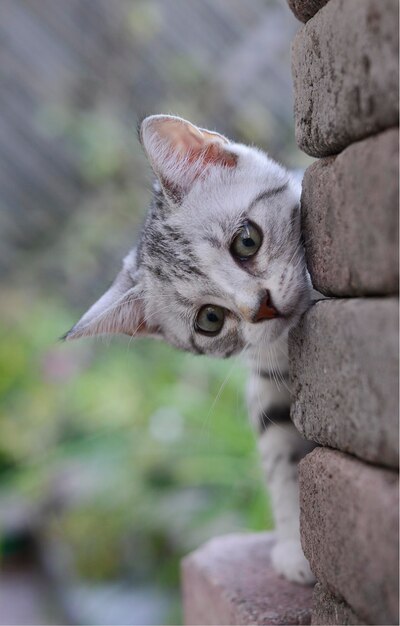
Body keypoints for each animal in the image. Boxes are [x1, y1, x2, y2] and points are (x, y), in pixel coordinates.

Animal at [65, 113, 316, 584]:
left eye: (247, 241)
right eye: (210, 320)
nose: (262, 307)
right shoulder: (265, 387)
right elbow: (280, 459)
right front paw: (295, 544)